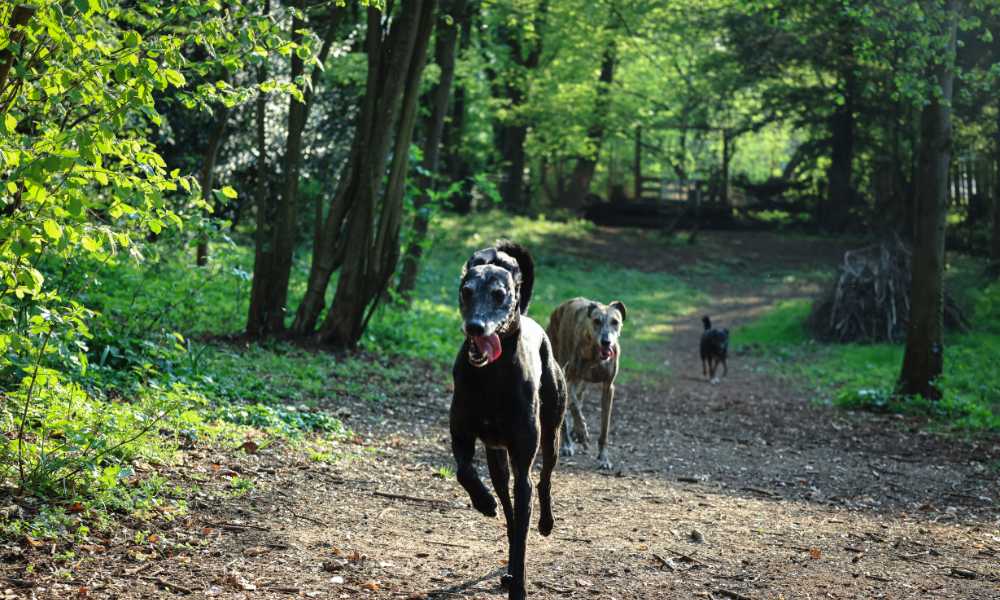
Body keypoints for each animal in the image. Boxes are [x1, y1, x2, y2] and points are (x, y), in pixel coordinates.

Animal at [450, 240, 568, 600]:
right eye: (466, 291)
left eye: (499, 294)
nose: (475, 326)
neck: (491, 375)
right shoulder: (461, 435)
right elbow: (463, 470)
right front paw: (483, 501)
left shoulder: (523, 463)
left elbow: (523, 531)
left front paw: (520, 585)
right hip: (497, 460)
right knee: (509, 508)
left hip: (551, 435)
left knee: (543, 480)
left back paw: (545, 523)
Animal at [548, 298, 624, 472]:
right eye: (596, 321)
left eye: (615, 322)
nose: (606, 342)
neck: (595, 354)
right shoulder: (568, 379)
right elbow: (575, 406)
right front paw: (582, 431)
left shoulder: (608, 387)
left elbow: (604, 428)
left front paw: (604, 458)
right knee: (569, 407)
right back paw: (567, 443)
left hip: (582, 383)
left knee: (579, 397)